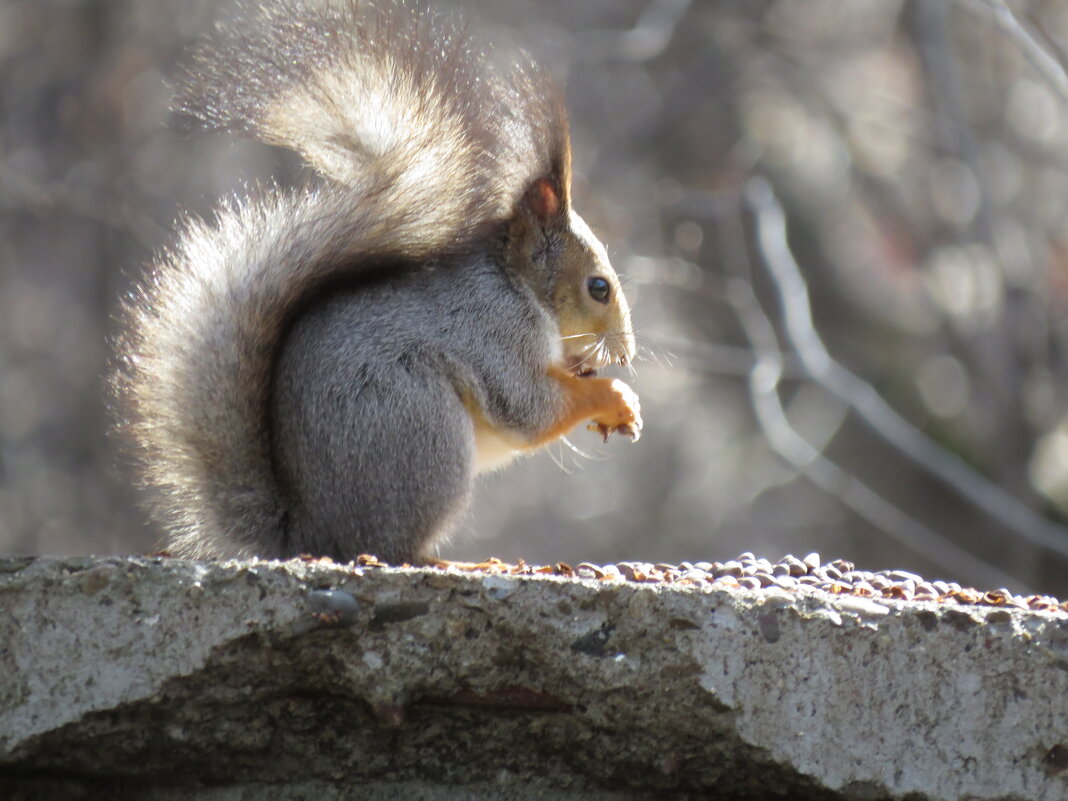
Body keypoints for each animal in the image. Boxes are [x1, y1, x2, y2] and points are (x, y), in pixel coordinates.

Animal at [111, 0, 636, 563]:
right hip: (421, 431)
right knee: (392, 546)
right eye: (598, 288)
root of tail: (311, 534)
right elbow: (528, 407)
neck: (517, 285)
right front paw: (613, 396)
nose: (626, 353)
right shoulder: (493, 331)